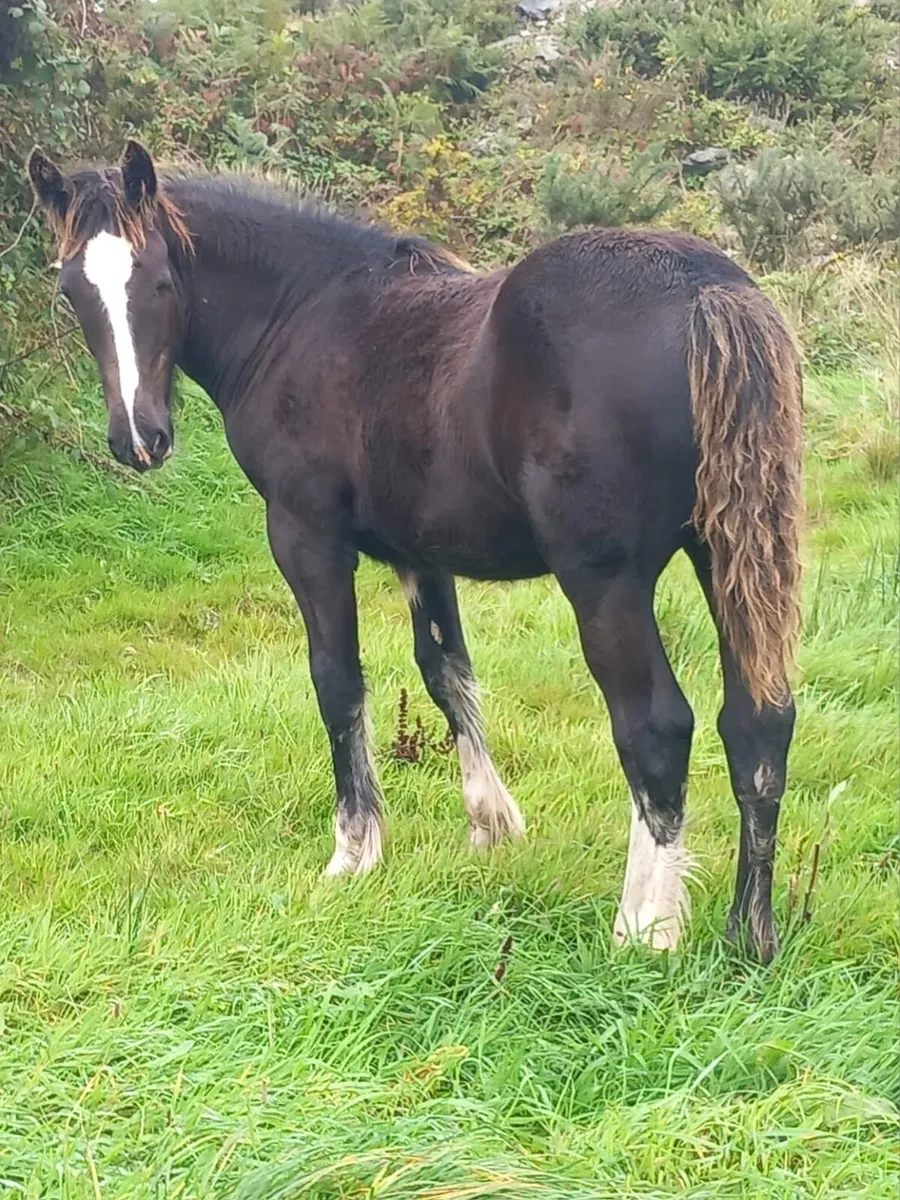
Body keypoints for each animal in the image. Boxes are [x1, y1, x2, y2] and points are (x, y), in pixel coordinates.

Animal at [27, 140, 803, 962]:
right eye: (72, 289)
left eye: (160, 280)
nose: (138, 439)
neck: (300, 315)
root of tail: (704, 289)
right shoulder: (421, 551)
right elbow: (446, 672)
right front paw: (492, 825)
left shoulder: (307, 538)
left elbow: (338, 682)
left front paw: (354, 850)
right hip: (725, 557)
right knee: (758, 720)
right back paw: (750, 934)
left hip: (606, 584)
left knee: (656, 726)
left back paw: (646, 927)